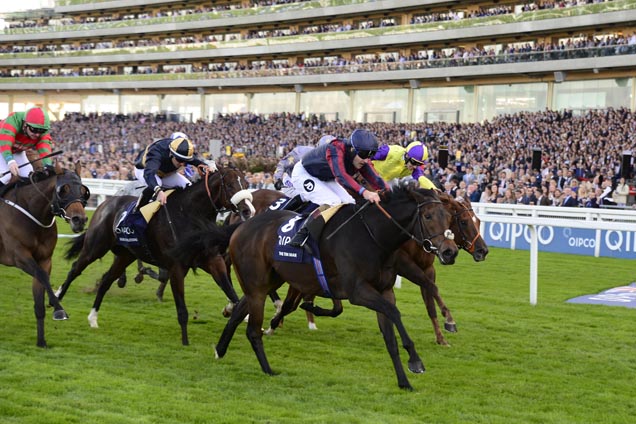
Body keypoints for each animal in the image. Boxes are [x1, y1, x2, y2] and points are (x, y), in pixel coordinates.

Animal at [0, 162, 89, 348]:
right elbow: (42, 276)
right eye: (63, 190)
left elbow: (40, 296)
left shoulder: (44, 260)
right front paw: (59, 309)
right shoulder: (19, 255)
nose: (79, 220)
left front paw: (41, 341)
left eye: (83, 190)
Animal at [55, 166, 253, 344]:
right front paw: (185, 342)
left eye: (246, 183)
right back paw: (57, 299)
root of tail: (107, 203)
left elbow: (231, 292)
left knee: (106, 281)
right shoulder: (176, 267)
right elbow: (182, 310)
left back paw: (93, 318)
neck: (190, 215)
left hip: (125, 255)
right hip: (95, 247)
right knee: (75, 269)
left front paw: (235, 312)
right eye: (230, 185)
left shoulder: (213, 261)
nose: (248, 210)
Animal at [214, 187, 458, 390]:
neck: (373, 236)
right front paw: (415, 361)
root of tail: (242, 226)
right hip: (257, 285)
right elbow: (395, 313)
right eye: (428, 216)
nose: (450, 252)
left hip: (269, 281)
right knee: (253, 330)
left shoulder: (384, 291)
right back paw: (267, 369)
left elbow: (390, 337)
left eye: (449, 217)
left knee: (240, 310)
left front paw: (404, 381)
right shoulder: (358, 291)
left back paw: (220, 349)